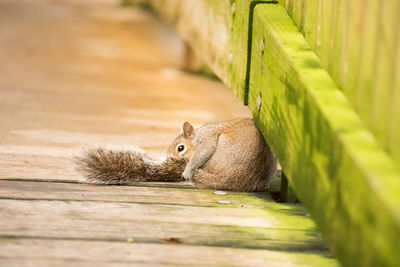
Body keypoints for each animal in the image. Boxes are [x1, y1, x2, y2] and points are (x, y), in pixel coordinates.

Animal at [76, 118, 276, 192]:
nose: (170, 159)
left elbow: (200, 155)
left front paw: (188, 170)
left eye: (180, 148)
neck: (196, 138)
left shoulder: (206, 141)